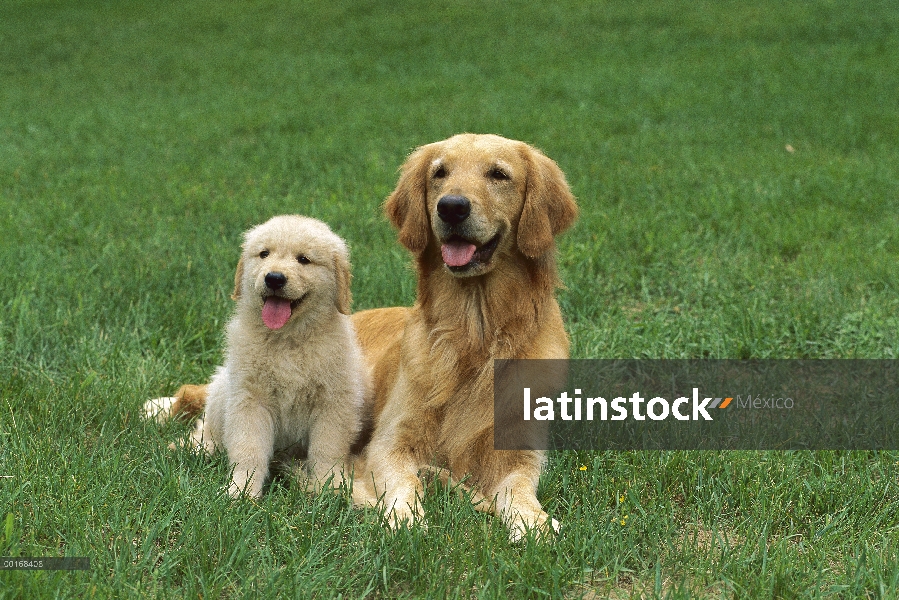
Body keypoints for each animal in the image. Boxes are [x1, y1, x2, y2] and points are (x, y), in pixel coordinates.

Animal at [142, 216, 368, 496]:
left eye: (303, 259)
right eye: (264, 254)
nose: (274, 278)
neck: (287, 340)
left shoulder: (334, 403)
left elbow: (327, 451)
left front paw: (328, 486)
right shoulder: (249, 399)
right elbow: (249, 450)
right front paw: (242, 489)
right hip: (222, 389)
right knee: (207, 430)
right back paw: (195, 449)